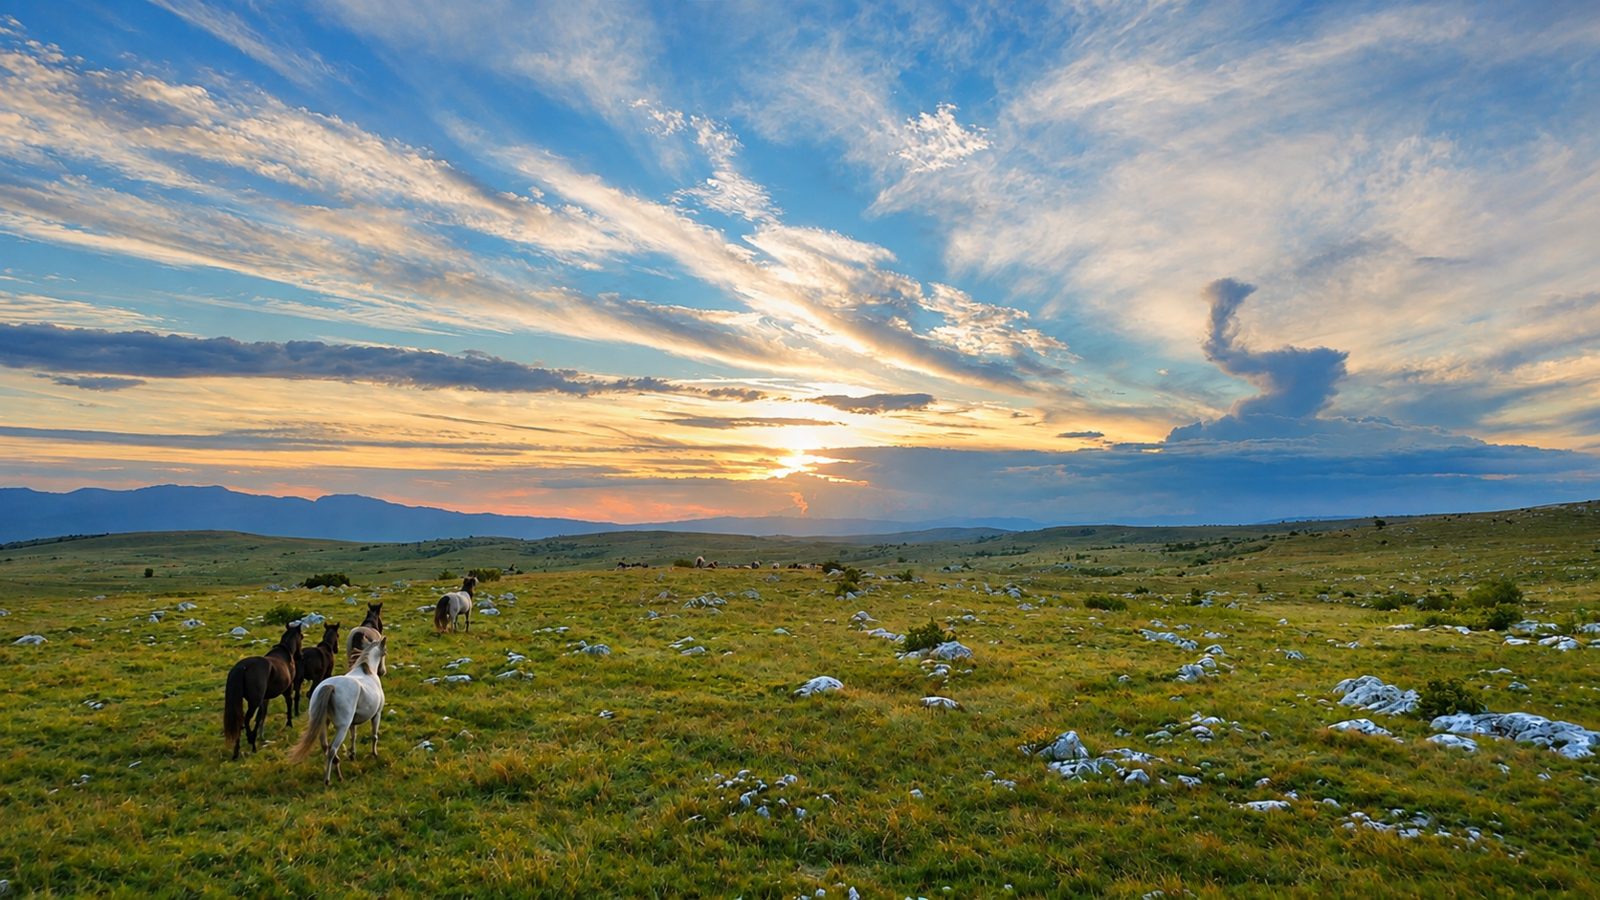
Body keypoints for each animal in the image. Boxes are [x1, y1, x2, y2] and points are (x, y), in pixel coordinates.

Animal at [222, 622, 303, 760]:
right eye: (302, 637)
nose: (300, 656)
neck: (286, 655)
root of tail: (242, 667)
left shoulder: (265, 698)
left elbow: (262, 715)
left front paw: (261, 736)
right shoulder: (288, 689)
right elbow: (288, 704)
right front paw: (289, 724)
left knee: (240, 721)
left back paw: (237, 752)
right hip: (254, 702)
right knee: (247, 719)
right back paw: (251, 741)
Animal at [288, 636, 387, 785]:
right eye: (384, 653)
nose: (382, 671)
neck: (367, 671)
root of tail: (331, 686)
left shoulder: (352, 723)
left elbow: (353, 737)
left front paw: (353, 755)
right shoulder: (377, 715)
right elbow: (374, 736)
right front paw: (375, 755)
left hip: (324, 725)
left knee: (325, 747)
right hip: (342, 728)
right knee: (332, 750)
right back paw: (330, 779)